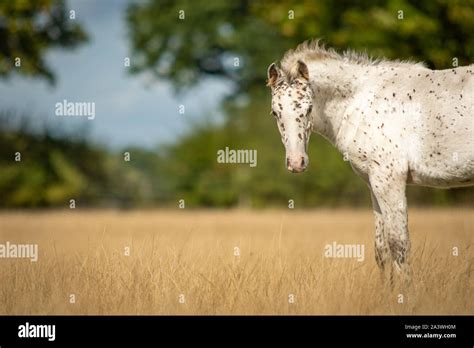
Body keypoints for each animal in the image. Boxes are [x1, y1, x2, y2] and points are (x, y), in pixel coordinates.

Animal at [266, 40, 474, 286]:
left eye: (308, 109)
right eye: (275, 112)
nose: (296, 163)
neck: (361, 102)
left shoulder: (389, 179)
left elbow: (399, 244)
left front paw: (406, 292)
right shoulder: (373, 183)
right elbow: (381, 249)